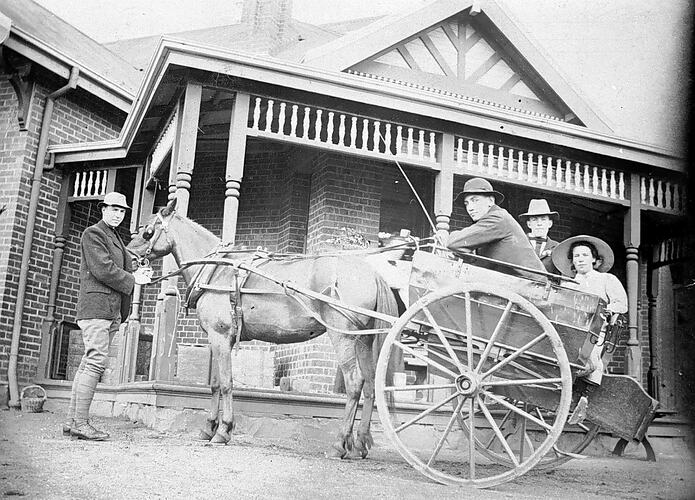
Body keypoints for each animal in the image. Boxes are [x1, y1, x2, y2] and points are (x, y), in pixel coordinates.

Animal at [127, 198, 399, 459]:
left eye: (148, 231)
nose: (129, 255)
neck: (216, 270)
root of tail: (372, 273)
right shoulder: (216, 339)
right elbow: (214, 383)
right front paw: (208, 427)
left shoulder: (221, 335)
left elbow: (226, 383)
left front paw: (223, 430)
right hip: (363, 340)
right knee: (371, 385)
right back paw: (359, 445)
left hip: (342, 336)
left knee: (355, 383)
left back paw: (339, 444)